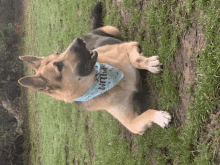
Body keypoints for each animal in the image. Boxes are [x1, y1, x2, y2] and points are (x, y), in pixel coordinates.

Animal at [18, 1, 170, 135]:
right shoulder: (132, 124)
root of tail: (88, 32)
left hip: (113, 29)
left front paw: (149, 63)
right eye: (59, 66)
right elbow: (144, 116)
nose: (77, 41)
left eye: (57, 53)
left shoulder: (128, 45)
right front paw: (158, 116)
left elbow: (136, 59)